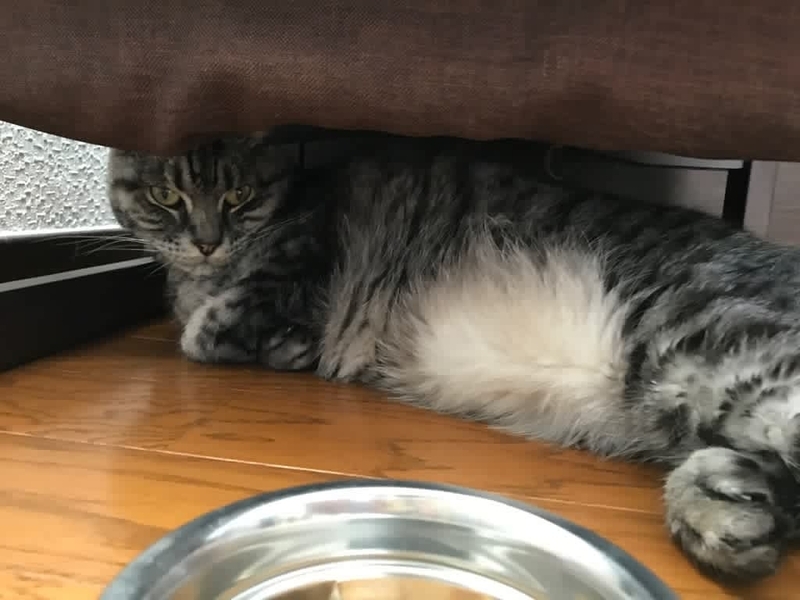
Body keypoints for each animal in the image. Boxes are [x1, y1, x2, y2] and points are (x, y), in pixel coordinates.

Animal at [108, 134, 800, 583]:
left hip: (705, 351)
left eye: (240, 195)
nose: (205, 241)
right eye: (166, 195)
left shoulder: (293, 274)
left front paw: (245, 332)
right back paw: (724, 510)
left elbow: (209, 330)